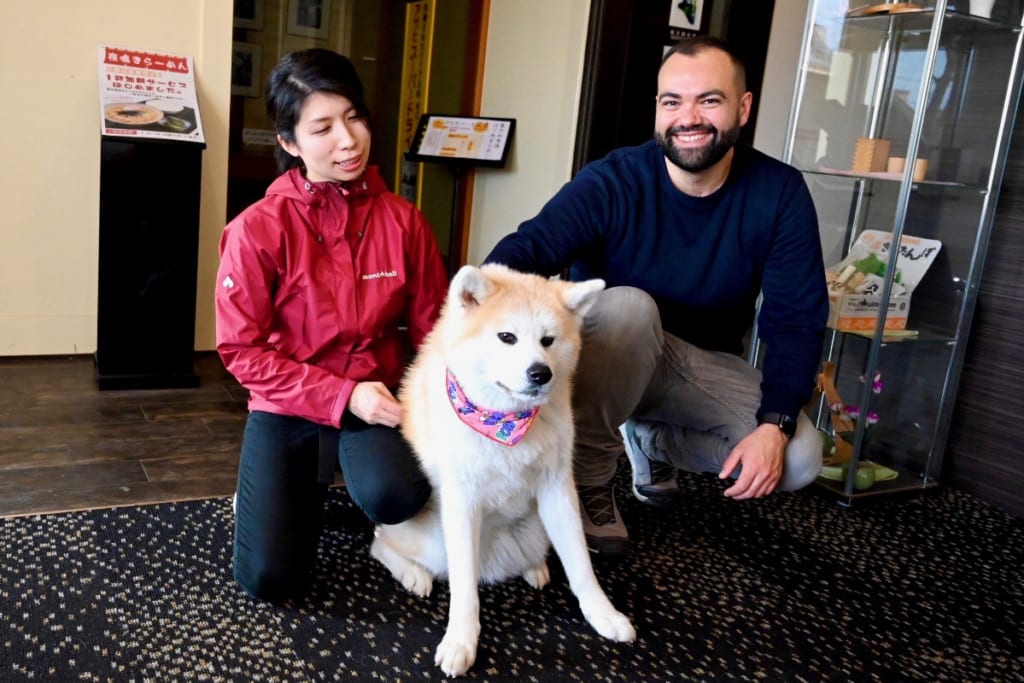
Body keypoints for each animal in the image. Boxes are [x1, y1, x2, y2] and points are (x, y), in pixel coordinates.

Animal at [372, 264, 634, 675]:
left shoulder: (558, 490)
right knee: (380, 541)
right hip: (433, 540)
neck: (505, 421)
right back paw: (414, 574)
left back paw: (535, 567)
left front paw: (603, 614)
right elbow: (464, 587)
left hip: (537, 528)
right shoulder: (463, 501)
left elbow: (580, 565)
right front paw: (461, 641)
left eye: (548, 340)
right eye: (507, 337)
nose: (540, 373)